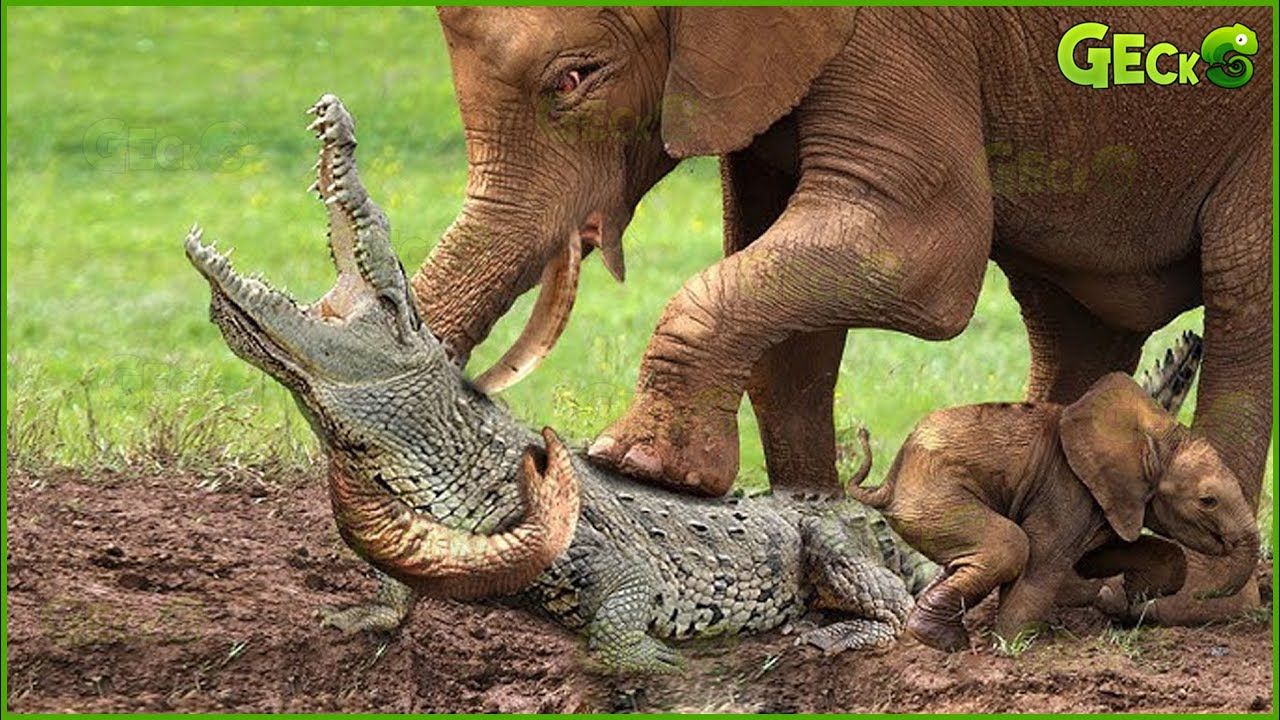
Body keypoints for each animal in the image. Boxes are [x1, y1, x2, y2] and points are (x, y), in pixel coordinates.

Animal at [410, 7, 1272, 623]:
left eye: (574, 77)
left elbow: (916, 252)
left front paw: (642, 466)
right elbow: (790, 299)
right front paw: (807, 511)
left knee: (1240, 292)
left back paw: (1188, 602)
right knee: (1069, 321)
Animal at [846, 372, 1259, 651]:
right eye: (1208, 500)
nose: (1209, 598)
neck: (1151, 436)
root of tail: (890, 479)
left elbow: (1109, 556)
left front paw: (1125, 599)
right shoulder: (1065, 490)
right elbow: (1043, 565)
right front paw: (1010, 647)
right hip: (934, 495)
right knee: (1009, 547)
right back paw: (942, 640)